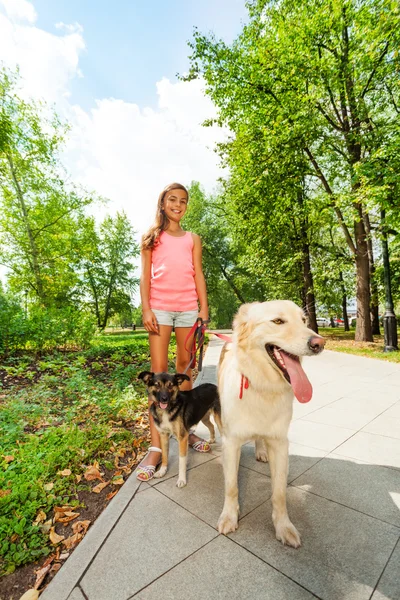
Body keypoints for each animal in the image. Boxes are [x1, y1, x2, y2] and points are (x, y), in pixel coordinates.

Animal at [216, 300, 324, 548]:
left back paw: (261, 451)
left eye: (304, 320)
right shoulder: (231, 442)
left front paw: (283, 527)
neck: (263, 385)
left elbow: (279, 493)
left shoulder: (280, 443)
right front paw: (229, 516)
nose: (319, 343)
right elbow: (231, 486)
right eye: (278, 321)